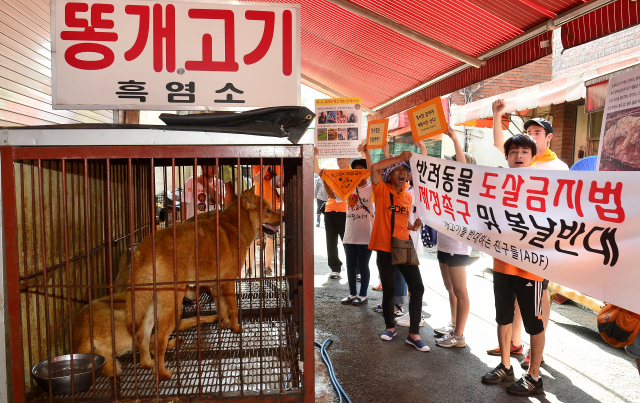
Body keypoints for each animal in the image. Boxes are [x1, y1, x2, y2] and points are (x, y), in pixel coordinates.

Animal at [126, 188, 282, 380]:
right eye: (268, 210)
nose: (283, 217)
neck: (235, 226)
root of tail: (144, 250)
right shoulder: (228, 283)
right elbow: (234, 309)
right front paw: (236, 328)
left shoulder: (216, 285)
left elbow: (221, 308)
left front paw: (224, 324)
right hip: (172, 304)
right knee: (160, 339)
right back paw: (162, 373)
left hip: (151, 304)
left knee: (143, 336)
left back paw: (148, 363)